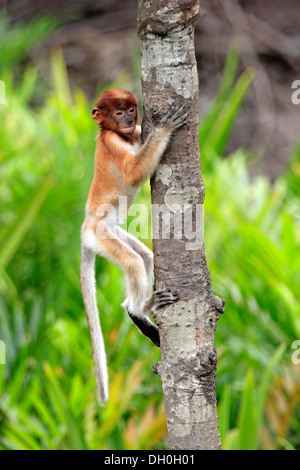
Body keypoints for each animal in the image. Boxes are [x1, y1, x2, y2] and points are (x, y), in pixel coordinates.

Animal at [79, 88, 188, 404]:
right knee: (132, 262)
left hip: (112, 233)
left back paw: (136, 310)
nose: (128, 121)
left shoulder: (136, 134)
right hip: (102, 236)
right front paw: (165, 127)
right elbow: (132, 174)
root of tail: (86, 229)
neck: (119, 135)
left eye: (130, 110)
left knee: (145, 257)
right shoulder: (113, 143)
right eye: (118, 113)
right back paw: (142, 307)